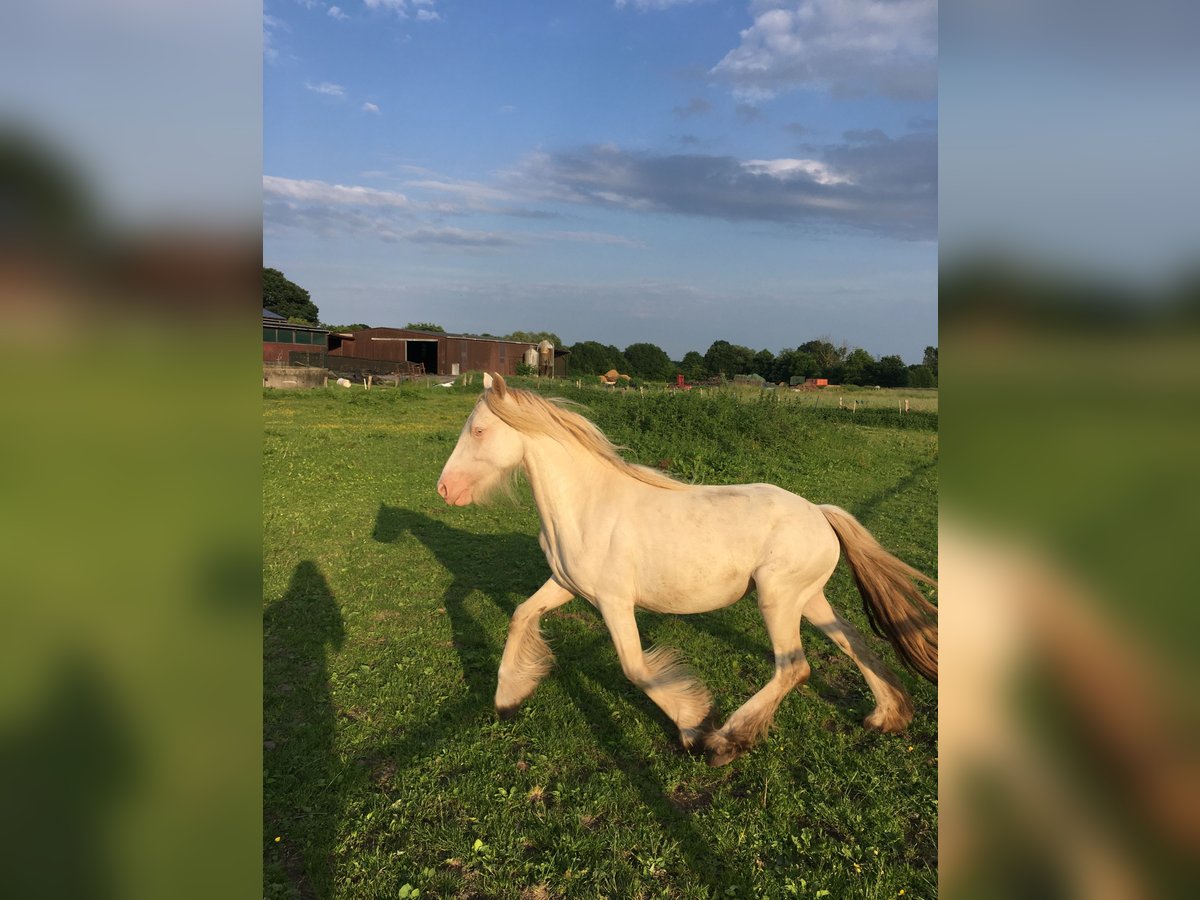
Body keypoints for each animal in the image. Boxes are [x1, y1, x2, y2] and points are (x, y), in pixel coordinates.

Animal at [434, 374, 936, 768]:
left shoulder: (614, 603)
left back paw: (726, 741)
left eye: (478, 430)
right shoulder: (564, 585)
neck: (586, 506)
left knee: (795, 667)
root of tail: (820, 512)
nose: (444, 489)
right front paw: (507, 698)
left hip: (777, 599)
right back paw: (887, 716)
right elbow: (521, 615)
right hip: (809, 598)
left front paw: (694, 726)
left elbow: (636, 668)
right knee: (854, 642)